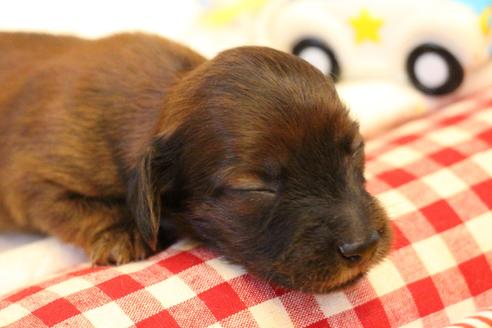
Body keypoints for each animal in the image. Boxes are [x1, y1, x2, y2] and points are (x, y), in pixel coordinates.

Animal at [0, 31, 392, 292]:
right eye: (254, 189)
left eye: (356, 149)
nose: (363, 246)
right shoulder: (33, 180)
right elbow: (61, 203)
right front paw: (121, 232)